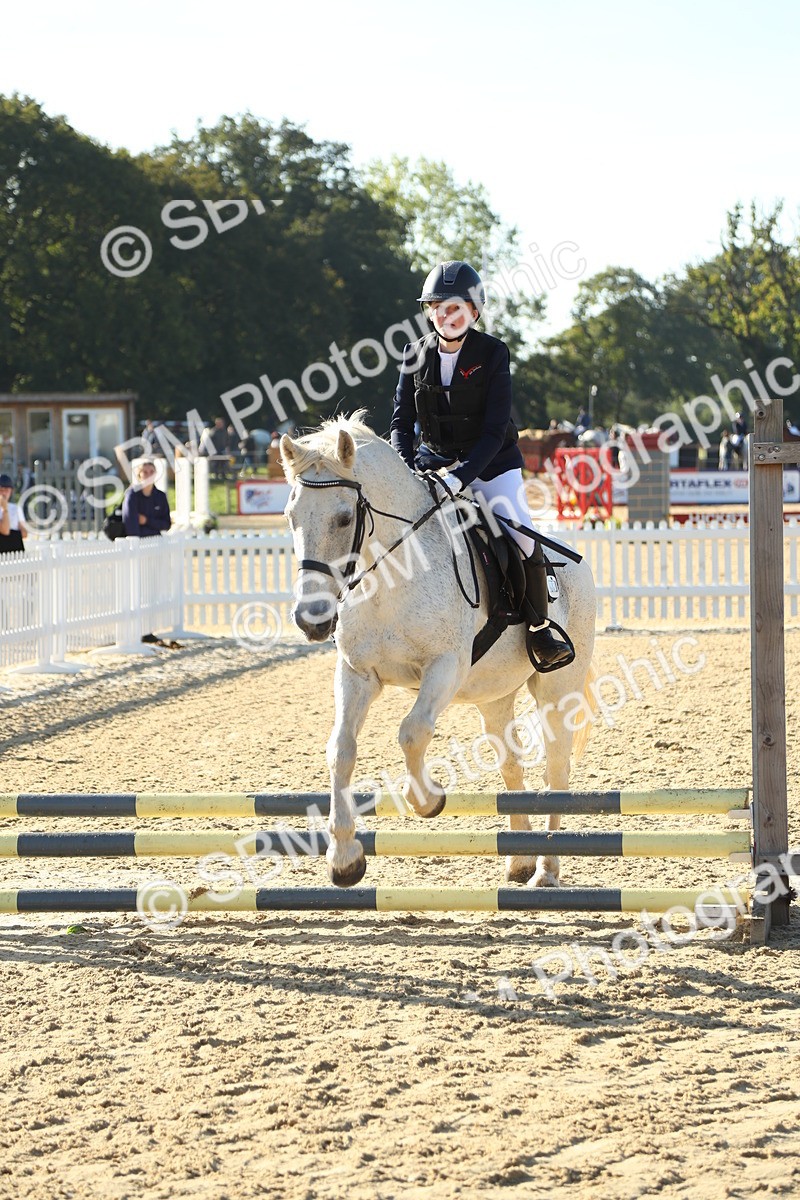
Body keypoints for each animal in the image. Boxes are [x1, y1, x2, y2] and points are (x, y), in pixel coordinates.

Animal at [281, 413, 597, 889]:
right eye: (291, 516)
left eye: (343, 518)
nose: (311, 620)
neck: (391, 576)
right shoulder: (357, 674)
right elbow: (341, 749)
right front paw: (344, 859)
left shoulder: (445, 666)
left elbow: (412, 732)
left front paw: (428, 801)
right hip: (493, 696)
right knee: (511, 764)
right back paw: (521, 860)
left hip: (558, 690)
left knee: (556, 770)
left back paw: (546, 871)